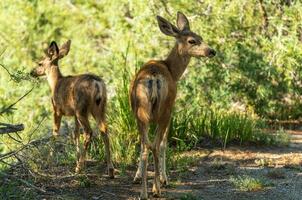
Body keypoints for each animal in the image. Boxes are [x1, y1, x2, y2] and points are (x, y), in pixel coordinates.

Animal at [30, 39, 114, 177]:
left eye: (40, 63)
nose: (31, 72)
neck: (55, 83)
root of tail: (97, 84)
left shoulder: (57, 110)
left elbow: (55, 133)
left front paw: (49, 161)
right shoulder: (74, 114)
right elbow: (75, 134)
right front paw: (78, 159)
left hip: (82, 109)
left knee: (89, 132)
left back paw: (79, 168)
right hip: (100, 107)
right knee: (104, 130)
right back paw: (110, 170)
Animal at [129, 12, 215, 198]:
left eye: (201, 37)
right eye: (192, 40)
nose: (212, 51)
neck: (172, 70)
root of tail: (154, 77)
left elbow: (143, 144)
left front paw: (137, 176)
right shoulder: (171, 111)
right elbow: (163, 144)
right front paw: (163, 178)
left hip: (141, 112)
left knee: (146, 145)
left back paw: (144, 193)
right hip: (165, 111)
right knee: (156, 145)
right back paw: (157, 189)